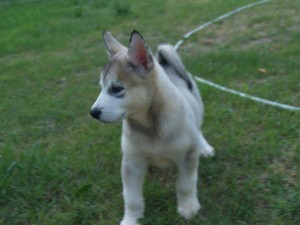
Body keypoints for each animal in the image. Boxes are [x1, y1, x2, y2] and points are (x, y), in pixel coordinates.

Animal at [90, 30, 214, 225]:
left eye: (116, 88)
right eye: (101, 87)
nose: (93, 112)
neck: (150, 126)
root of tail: (165, 63)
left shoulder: (187, 157)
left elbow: (185, 185)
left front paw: (188, 208)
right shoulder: (131, 163)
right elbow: (131, 197)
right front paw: (131, 219)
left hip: (198, 107)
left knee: (198, 128)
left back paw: (204, 147)